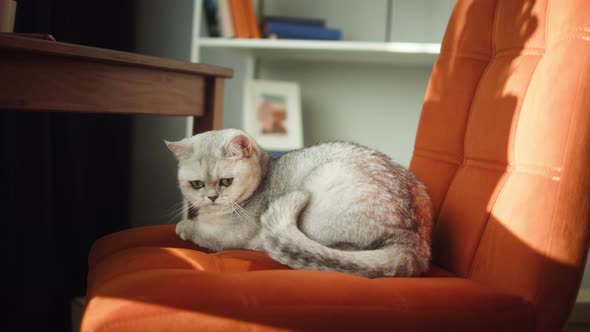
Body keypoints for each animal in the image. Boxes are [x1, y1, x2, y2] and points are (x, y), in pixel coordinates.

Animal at [166, 128, 434, 278]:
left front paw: (185, 226)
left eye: (226, 181)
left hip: (326, 185)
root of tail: (415, 240)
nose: (211, 197)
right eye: (197, 184)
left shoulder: (229, 235)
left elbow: (202, 233)